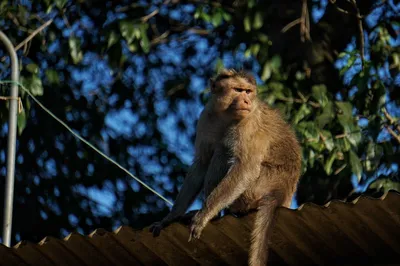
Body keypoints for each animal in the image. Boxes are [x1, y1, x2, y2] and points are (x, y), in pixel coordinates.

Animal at [150, 69, 300, 266]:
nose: (246, 101)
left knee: (223, 150)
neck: (226, 116)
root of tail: (281, 191)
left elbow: (245, 168)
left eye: (248, 92)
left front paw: (203, 215)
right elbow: (202, 163)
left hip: (258, 188)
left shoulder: (249, 123)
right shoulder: (206, 117)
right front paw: (170, 218)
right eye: (238, 90)